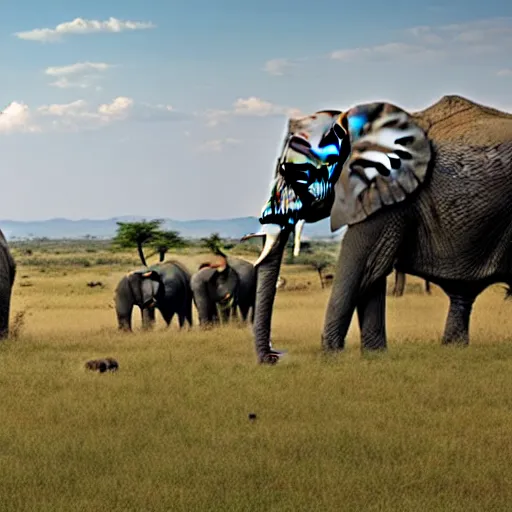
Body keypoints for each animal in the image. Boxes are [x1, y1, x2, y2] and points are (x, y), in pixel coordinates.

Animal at [242, 95, 512, 364]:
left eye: (299, 173)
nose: (274, 356)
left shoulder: (391, 196)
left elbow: (362, 267)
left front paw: (332, 358)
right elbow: (372, 272)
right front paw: (374, 356)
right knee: (462, 295)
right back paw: (453, 348)